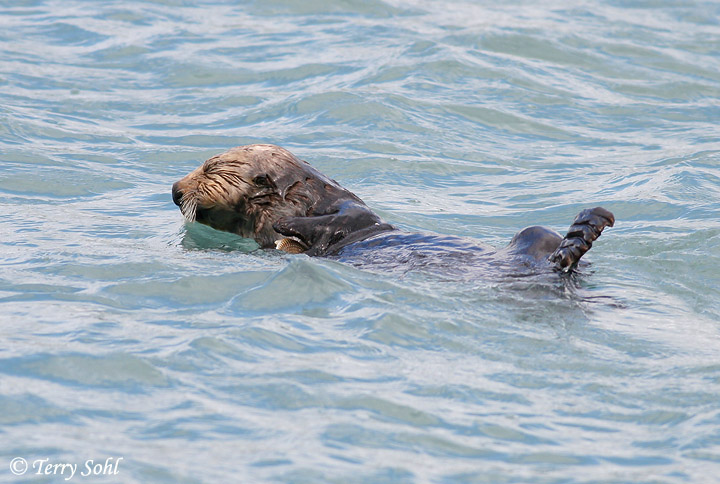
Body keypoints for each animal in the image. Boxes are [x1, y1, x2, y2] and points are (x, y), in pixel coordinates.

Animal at [172, 144, 614, 273]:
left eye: (209, 168)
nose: (175, 191)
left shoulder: (345, 207)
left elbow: (343, 220)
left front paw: (290, 225)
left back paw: (587, 229)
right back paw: (582, 236)